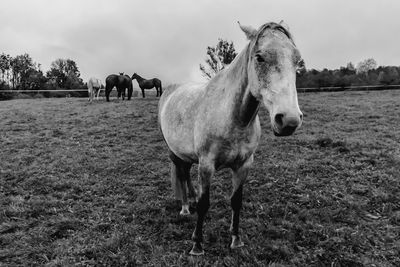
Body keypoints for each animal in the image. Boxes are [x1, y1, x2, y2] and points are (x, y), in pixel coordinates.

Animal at [159, 21, 304, 255]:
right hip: (174, 153)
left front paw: (236, 239)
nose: (289, 120)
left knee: (186, 173)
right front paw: (197, 245)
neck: (232, 118)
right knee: (181, 174)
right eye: (259, 57)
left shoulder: (244, 165)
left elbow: (236, 201)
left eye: (297, 60)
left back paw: (190, 200)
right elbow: (205, 204)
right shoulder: (206, 165)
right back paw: (185, 207)